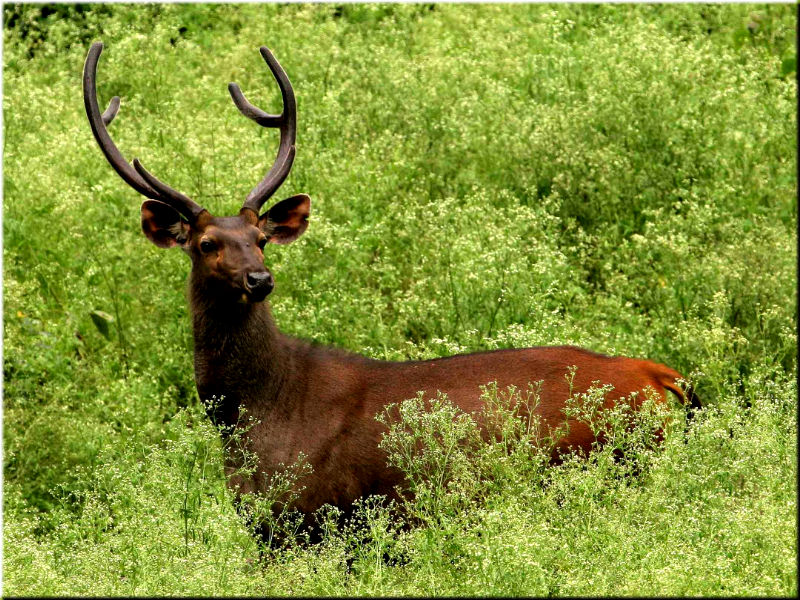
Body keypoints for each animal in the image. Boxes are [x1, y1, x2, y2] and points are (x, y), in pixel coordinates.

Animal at [84, 43, 696, 524]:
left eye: (259, 238)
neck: (254, 411)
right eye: (207, 244)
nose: (260, 279)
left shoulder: (314, 516)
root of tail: (661, 377)